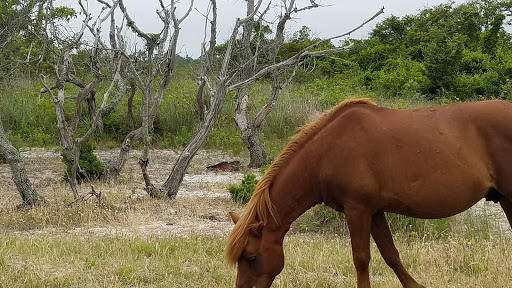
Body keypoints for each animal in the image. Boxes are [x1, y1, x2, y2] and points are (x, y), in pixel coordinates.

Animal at [226, 98, 512, 286]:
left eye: (251, 257)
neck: (327, 152)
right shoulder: (374, 212)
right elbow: (391, 255)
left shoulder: (357, 210)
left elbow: (361, 259)